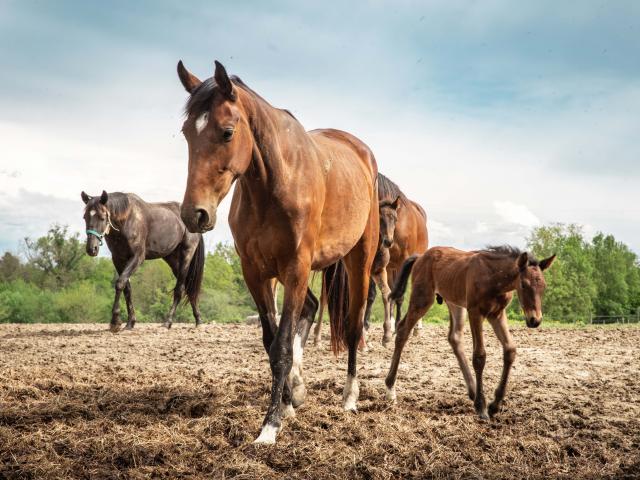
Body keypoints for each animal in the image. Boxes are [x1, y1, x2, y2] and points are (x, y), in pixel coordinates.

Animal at [81, 189, 204, 332]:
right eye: (85, 217)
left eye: (102, 217)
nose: (91, 249)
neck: (127, 220)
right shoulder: (118, 259)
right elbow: (127, 289)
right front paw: (130, 323)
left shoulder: (137, 257)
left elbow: (120, 283)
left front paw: (115, 321)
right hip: (173, 259)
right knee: (188, 288)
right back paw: (198, 320)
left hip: (186, 255)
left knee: (179, 289)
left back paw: (168, 322)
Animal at [384, 248, 556, 420]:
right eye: (523, 284)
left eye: (544, 286)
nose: (535, 320)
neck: (494, 276)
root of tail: (420, 257)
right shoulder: (475, 312)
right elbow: (479, 356)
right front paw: (481, 407)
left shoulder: (497, 314)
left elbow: (510, 350)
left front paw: (494, 405)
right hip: (422, 298)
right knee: (403, 330)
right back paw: (390, 390)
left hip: (455, 303)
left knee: (454, 337)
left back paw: (473, 392)